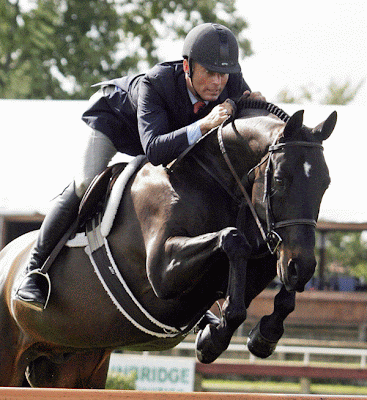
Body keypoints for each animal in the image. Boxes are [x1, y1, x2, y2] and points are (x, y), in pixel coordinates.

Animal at [0, 100, 338, 388]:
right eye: (280, 180)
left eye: (325, 184)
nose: (303, 267)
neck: (209, 177)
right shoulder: (162, 272)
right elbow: (233, 240)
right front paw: (215, 337)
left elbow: (267, 266)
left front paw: (262, 335)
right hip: (12, 357)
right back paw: (32, 285)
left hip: (73, 363)